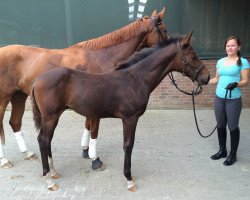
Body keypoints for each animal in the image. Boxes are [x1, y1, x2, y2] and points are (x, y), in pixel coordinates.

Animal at [0, 8, 169, 168]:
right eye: (164, 29)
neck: (101, 56)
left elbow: (88, 126)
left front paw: (86, 151)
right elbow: (94, 130)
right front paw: (95, 159)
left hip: (19, 96)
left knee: (15, 122)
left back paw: (27, 152)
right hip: (4, 98)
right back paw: (4, 160)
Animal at [31, 32, 211, 191]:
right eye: (193, 56)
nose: (207, 78)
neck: (135, 79)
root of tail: (37, 80)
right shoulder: (130, 118)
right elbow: (128, 146)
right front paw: (129, 179)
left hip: (54, 116)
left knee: (47, 140)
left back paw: (53, 172)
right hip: (50, 116)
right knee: (43, 140)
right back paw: (49, 180)